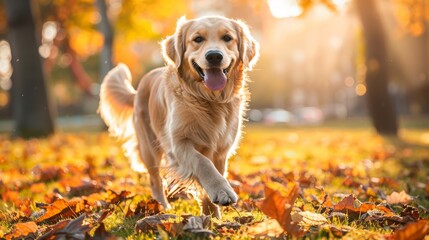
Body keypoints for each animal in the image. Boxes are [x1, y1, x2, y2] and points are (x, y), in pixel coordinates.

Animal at [99, 15, 260, 218]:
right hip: (149, 148)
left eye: (227, 38)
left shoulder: (221, 150)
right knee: (155, 180)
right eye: (198, 39)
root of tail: (138, 89)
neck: (209, 100)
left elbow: (212, 172)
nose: (214, 56)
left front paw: (212, 215)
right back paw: (162, 207)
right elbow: (203, 162)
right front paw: (221, 190)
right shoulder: (178, 144)